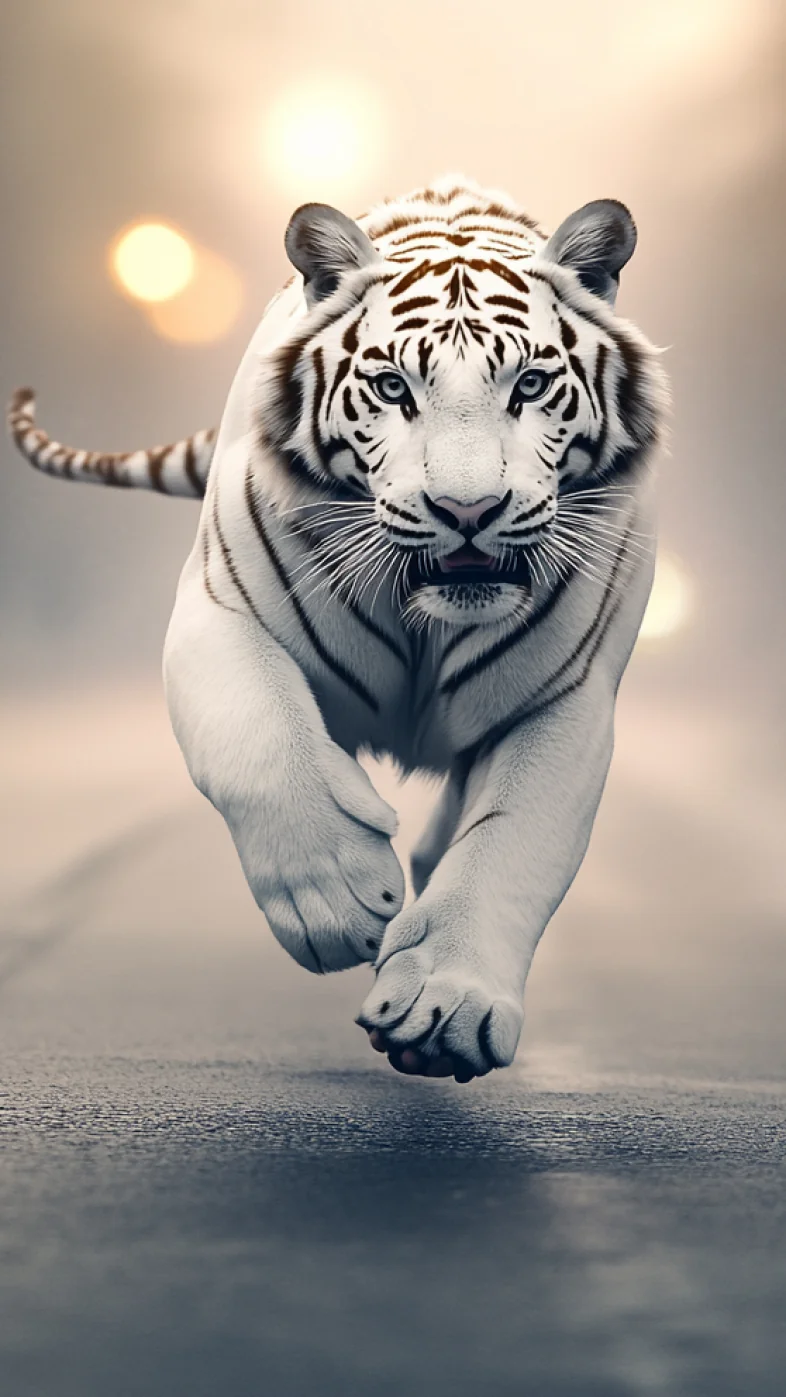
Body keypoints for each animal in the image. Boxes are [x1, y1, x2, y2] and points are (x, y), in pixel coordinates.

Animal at [8, 176, 667, 1083]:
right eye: (393, 389)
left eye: (530, 385)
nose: (467, 511)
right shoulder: (220, 610)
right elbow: (258, 741)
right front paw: (341, 900)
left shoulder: (563, 698)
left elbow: (513, 842)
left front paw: (445, 1008)